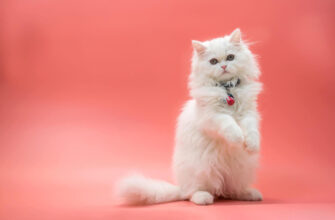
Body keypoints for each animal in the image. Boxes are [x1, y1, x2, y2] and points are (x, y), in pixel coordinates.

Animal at [117, 28, 264, 205]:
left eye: (230, 57)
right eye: (213, 61)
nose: (223, 66)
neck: (227, 89)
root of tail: (181, 187)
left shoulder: (249, 114)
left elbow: (252, 131)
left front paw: (251, 145)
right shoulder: (212, 116)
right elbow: (229, 124)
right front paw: (238, 138)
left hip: (239, 173)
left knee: (231, 191)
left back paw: (250, 194)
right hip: (200, 171)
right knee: (192, 193)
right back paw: (204, 198)